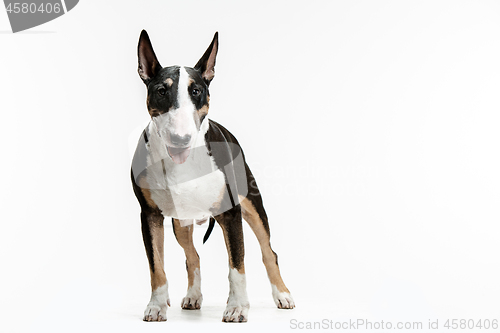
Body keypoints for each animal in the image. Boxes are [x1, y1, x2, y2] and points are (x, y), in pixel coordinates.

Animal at [131, 30, 294, 322]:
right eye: (161, 91)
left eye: (196, 91)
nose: (180, 139)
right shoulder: (149, 215)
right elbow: (156, 266)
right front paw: (156, 306)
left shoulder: (231, 213)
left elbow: (236, 265)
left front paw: (237, 307)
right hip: (181, 222)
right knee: (192, 256)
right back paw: (193, 297)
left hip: (251, 203)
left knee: (268, 251)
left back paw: (282, 295)